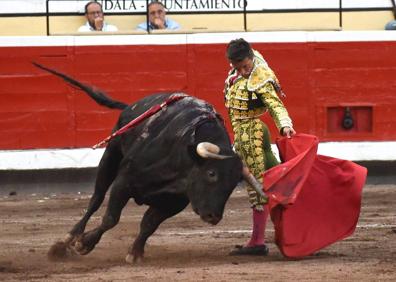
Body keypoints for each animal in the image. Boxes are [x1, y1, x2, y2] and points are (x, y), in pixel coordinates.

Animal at [34, 62, 248, 264]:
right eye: (211, 173)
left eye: (233, 184)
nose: (214, 216)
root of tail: (131, 106)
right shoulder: (124, 182)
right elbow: (110, 218)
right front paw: (84, 243)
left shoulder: (172, 203)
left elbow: (148, 225)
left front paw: (135, 252)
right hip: (110, 155)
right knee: (95, 200)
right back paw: (66, 241)